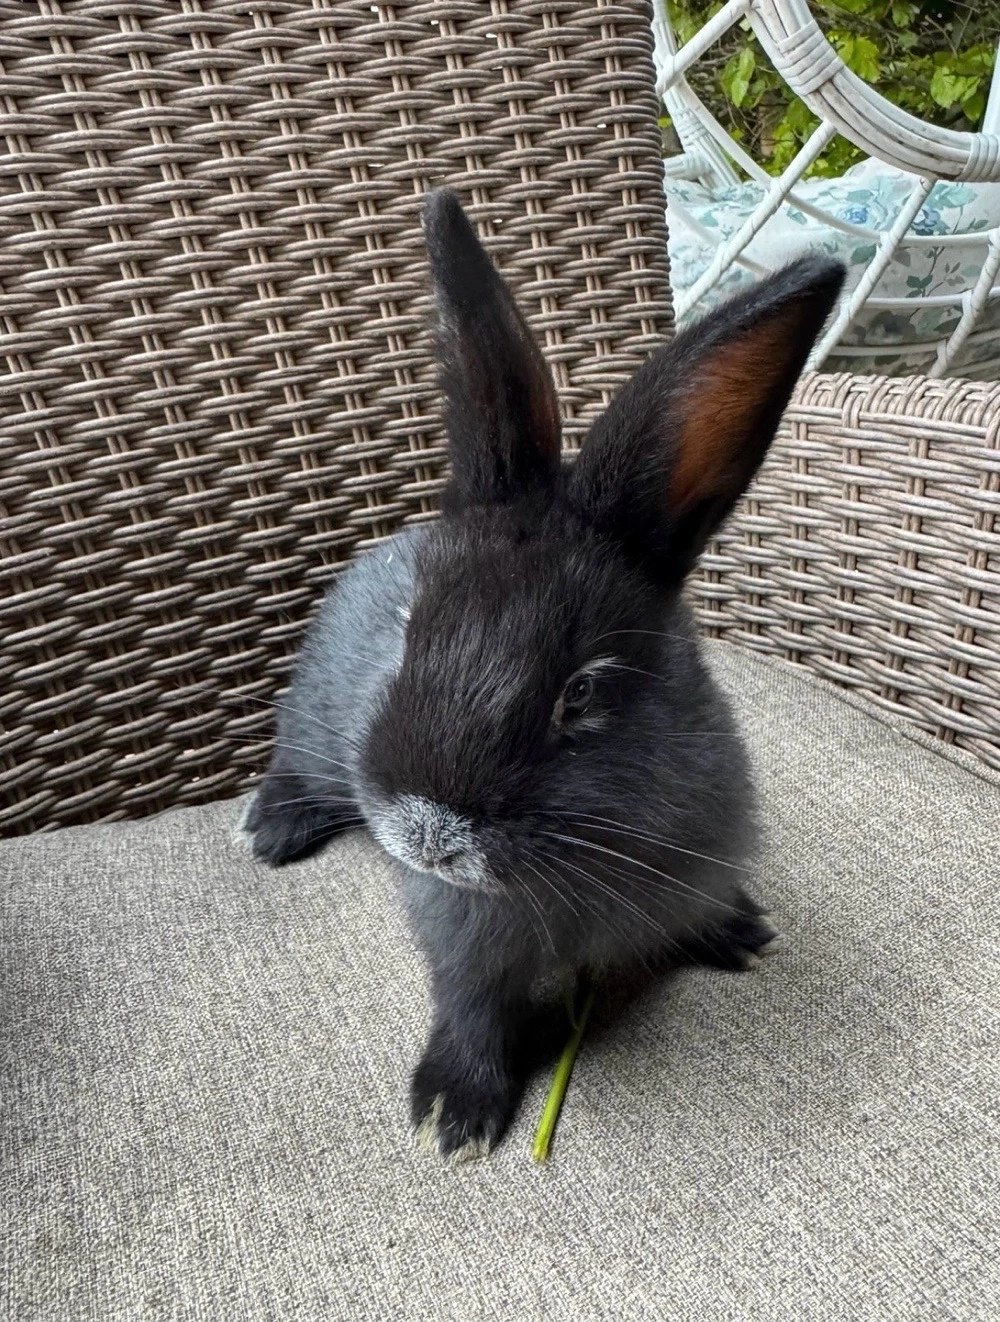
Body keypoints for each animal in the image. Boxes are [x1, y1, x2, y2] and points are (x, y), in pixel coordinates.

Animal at [243, 188, 845, 1159]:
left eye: (583, 689)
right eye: (412, 632)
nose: (426, 834)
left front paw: (740, 930)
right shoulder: (459, 941)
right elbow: (472, 1007)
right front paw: (452, 1115)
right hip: (314, 731)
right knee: (295, 765)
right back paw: (272, 828)